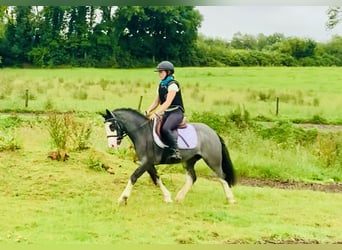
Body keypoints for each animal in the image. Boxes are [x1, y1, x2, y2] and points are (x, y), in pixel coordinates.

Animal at [101, 107, 235, 205]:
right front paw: (167, 197)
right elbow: (156, 178)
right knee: (192, 177)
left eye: (112, 126)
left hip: (212, 160)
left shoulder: (146, 162)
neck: (143, 133)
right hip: (189, 161)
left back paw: (230, 199)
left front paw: (123, 198)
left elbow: (134, 177)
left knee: (222, 177)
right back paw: (179, 197)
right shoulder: (148, 163)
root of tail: (213, 132)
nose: (112, 145)